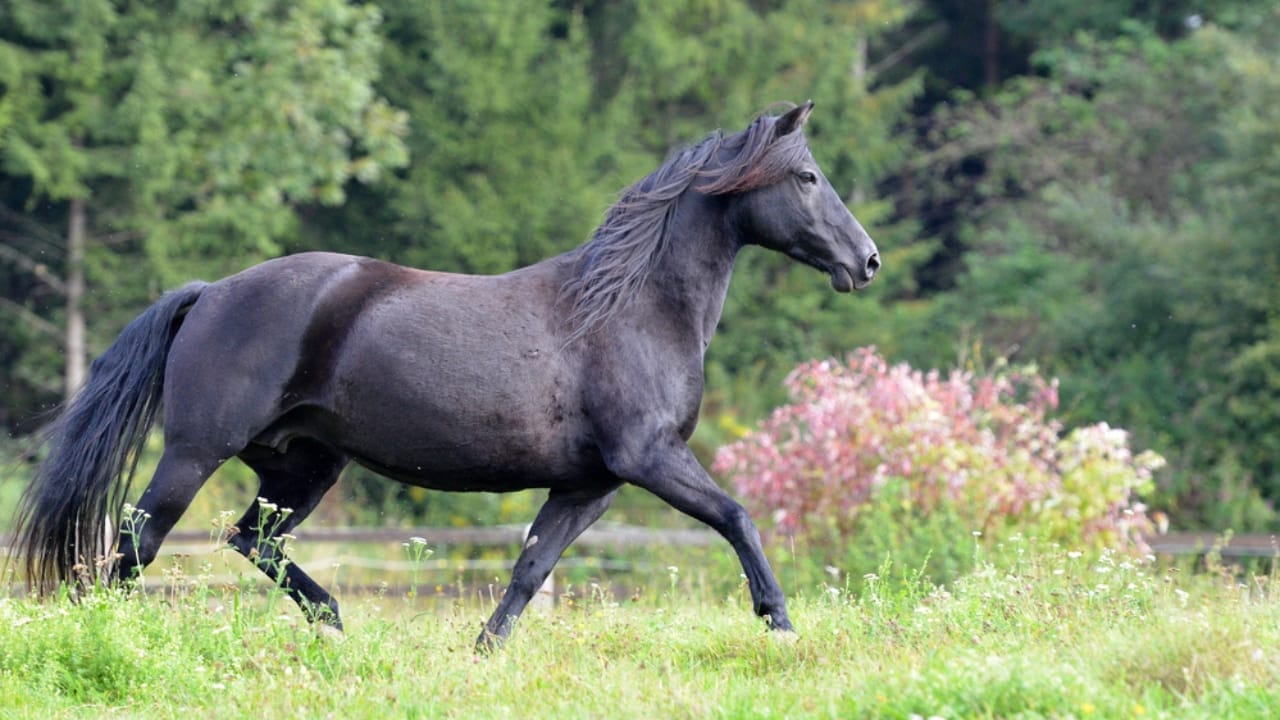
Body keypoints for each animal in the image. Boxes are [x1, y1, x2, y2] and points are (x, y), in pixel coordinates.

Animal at [10, 101, 879, 648]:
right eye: (806, 177)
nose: (866, 261)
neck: (628, 308)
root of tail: (211, 291)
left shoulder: (590, 483)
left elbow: (531, 568)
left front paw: (483, 649)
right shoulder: (650, 459)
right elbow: (738, 517)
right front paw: (781, 624)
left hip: (303, 464)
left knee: (249, 538)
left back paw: (336, 623)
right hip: (197, 452)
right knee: (139, 542)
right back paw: (119, 636)